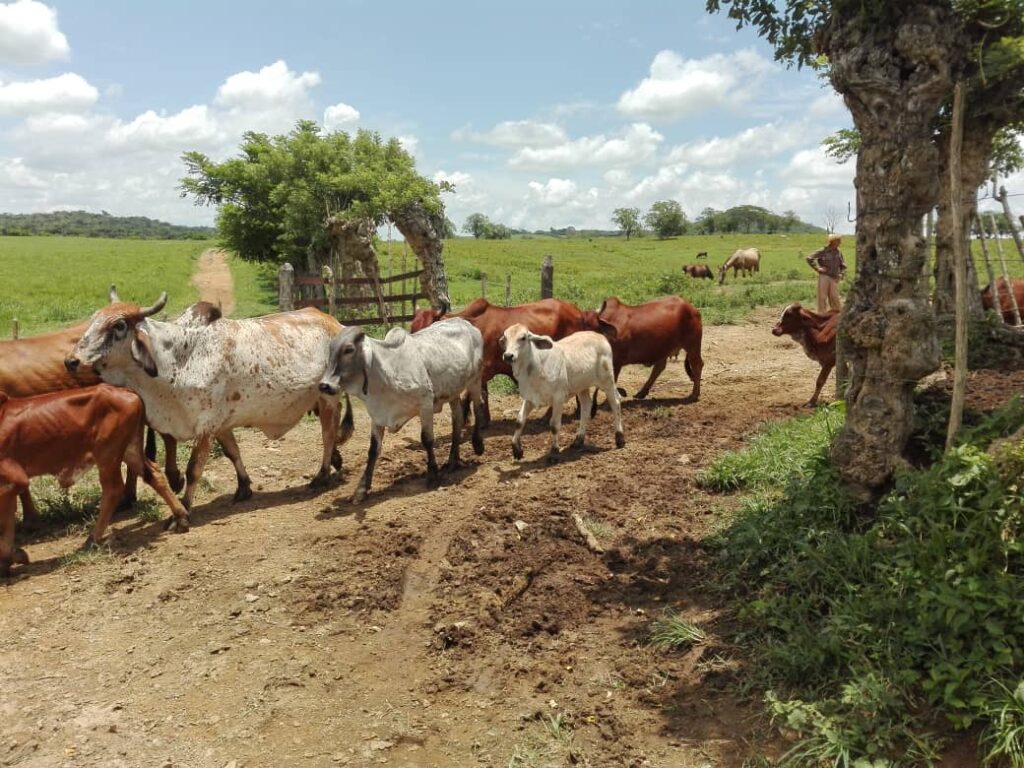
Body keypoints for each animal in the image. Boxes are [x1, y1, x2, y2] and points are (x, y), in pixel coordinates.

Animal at [0, 385, 191, 577]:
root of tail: (127, 391)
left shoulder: (15, 480)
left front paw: (10, 558)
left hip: (107, 453)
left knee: (113, 489)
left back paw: (93, 539)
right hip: (129, 449)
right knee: (154, 475)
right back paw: (181, 516)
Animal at [65, 290, 352, 520]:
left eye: (119, 325)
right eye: (93, 319)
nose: (71, 361)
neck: (178, 359)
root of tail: (334, 322)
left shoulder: (206, 425)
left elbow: (194, 469)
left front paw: (184, 507)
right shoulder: (221, 424)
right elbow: (233, 453)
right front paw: (244, 487)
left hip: (327, 398)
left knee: (327, 435)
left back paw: (322, 475)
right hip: (323, 399)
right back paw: (335, 462)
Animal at [315, 319, 483, 505]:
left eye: (349, 349)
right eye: (330, 349)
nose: (324, 385)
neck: (385, 376)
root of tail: (465, 323)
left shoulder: (425, 405)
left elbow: (427, 440)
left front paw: (433, 475)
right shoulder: (377, 416)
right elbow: (373, 450)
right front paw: (361, 489)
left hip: (475, 380)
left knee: (478, 406)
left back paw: (478, 444)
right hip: (453, 392)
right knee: (457, 420)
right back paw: (453, 461)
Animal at [409, 296, 598, 428]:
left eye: (428, 328)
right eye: (412, 328)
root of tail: (578, 312)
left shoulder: (484, 371)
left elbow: (469, 395)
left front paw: (466, 419)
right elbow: (482, 394)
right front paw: (484, 421)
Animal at [497, 321, 622, 460]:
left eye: (523, 337)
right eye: (505, 338)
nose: (508, 356)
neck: (534, 369)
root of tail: (600, 336)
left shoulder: (558, 398)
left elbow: (554, 425)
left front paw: (554, 452)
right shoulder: (529, 398)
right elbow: (519, 421)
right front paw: (516, 449)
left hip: (607, 381)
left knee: (615, 403)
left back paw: (619, 438)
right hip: (582, 386)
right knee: (586, 406)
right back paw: (578, 440)